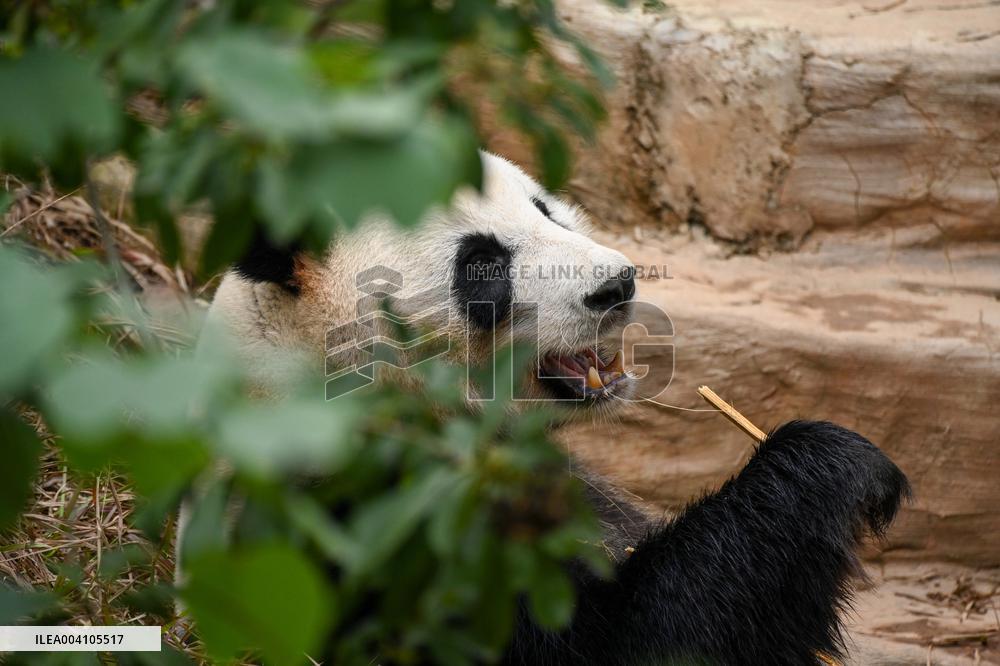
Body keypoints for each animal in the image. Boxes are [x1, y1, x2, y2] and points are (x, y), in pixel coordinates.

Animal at [205, 152, 910, 665]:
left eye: (545, 209)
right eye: (481, 262)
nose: (617, 286)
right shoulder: (388, 534)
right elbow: (640, 641)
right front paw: (838, 465)